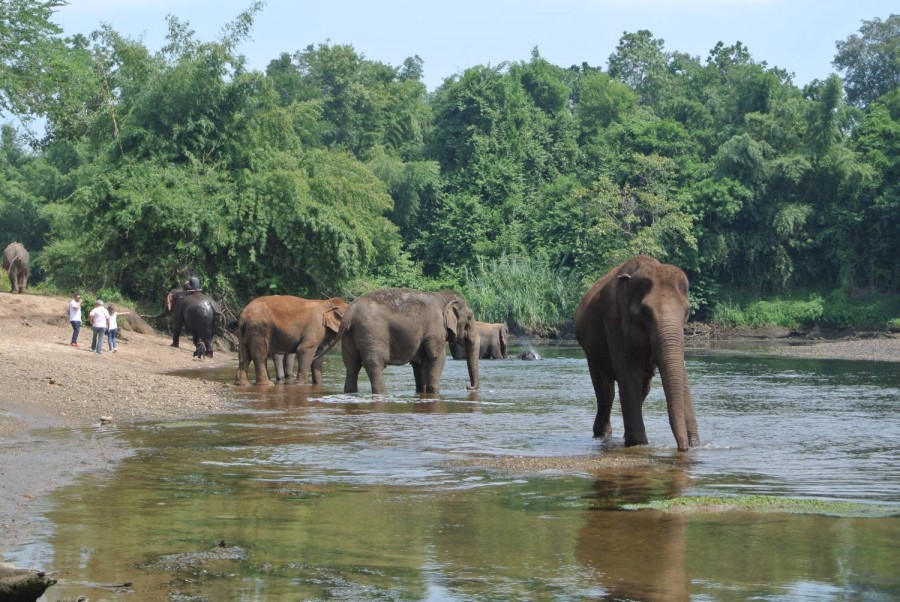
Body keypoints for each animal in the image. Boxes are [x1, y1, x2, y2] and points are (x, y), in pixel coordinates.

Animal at [316, 288, 480, 395]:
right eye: (470, 318)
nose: (468, 387)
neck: (441, 297)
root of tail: (350, 312)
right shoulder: (435, 329)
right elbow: (437, 358)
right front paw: (434, 392)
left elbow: (420, 364)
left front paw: (422, 392)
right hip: (373, 333)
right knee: (375, 363)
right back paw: (382, 393)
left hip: (349, 336)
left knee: (352, 365)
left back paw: (351, 392)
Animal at [574, 255, 699, 452]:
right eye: (645, 313)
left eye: (687, 312)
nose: (683, 448)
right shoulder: (613, 319)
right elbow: (628, 375)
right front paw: (638, 444)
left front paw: (696, 445)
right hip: (591, 350)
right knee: (605, 391)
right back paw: (603, 434)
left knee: (643, 387)